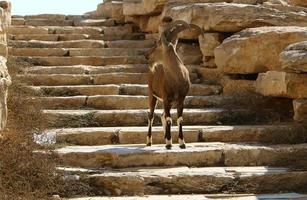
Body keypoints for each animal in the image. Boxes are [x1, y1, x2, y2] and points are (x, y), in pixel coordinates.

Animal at [146, 21, 203, 149]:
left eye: (158, 45)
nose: (146, 56)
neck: (177, 78)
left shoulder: (181, 99)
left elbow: (179, 119)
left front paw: (181, 143)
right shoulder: (166, 98)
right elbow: (169, 119)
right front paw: (168, 143)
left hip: (171, 102)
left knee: (162, 115)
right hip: (152, 94)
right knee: (151, 116)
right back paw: (149, 141)